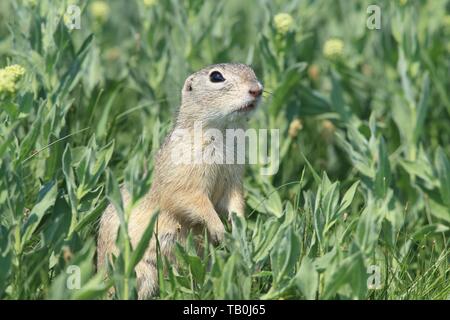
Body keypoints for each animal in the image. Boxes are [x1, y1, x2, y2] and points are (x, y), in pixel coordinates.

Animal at [96, 63, 264, 300]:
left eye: (251, 69)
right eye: (216, 77)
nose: (257, 90)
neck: (222, 133)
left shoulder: (233, 178)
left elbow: (234, 200)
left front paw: (239, 227)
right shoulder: (185, 177)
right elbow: (191, 200)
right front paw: (219, 229)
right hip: (141, 272)